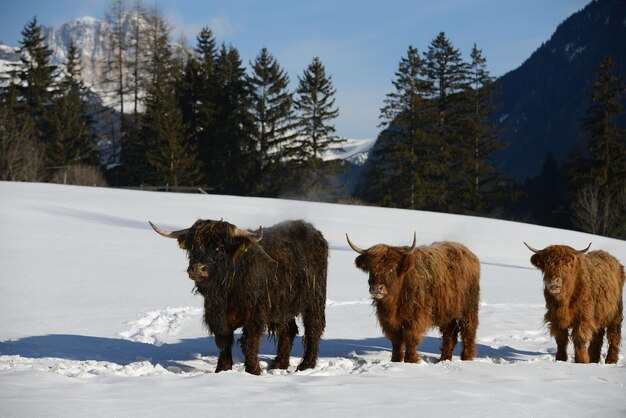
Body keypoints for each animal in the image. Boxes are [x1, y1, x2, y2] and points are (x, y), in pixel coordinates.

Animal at [150, 219, 326, 376]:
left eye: (219, 247)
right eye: (193, 246)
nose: (197, 268)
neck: (226, 291)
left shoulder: (255, 316)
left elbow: (249, 342)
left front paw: (253, 371)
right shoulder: (217, 316)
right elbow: (224, 341)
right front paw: (223, 370)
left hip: (314, 299)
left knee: (314, 328)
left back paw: (306, 365)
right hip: (282, 307)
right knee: (288, 331)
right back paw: (279, 364)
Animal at [346, 233, 478, 364]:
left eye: (392, 268)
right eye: (371, 268)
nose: (377, 288)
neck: (394, 303)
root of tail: (468, 253)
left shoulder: (415, 318)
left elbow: (410, 338)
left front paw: (411, 361)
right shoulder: (388, 321)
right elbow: (396, 340)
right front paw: (396, 360)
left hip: (468, 307)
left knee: (468, 331)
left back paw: (467, 358)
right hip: (447, 312)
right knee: (449, 335)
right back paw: (444, 359)